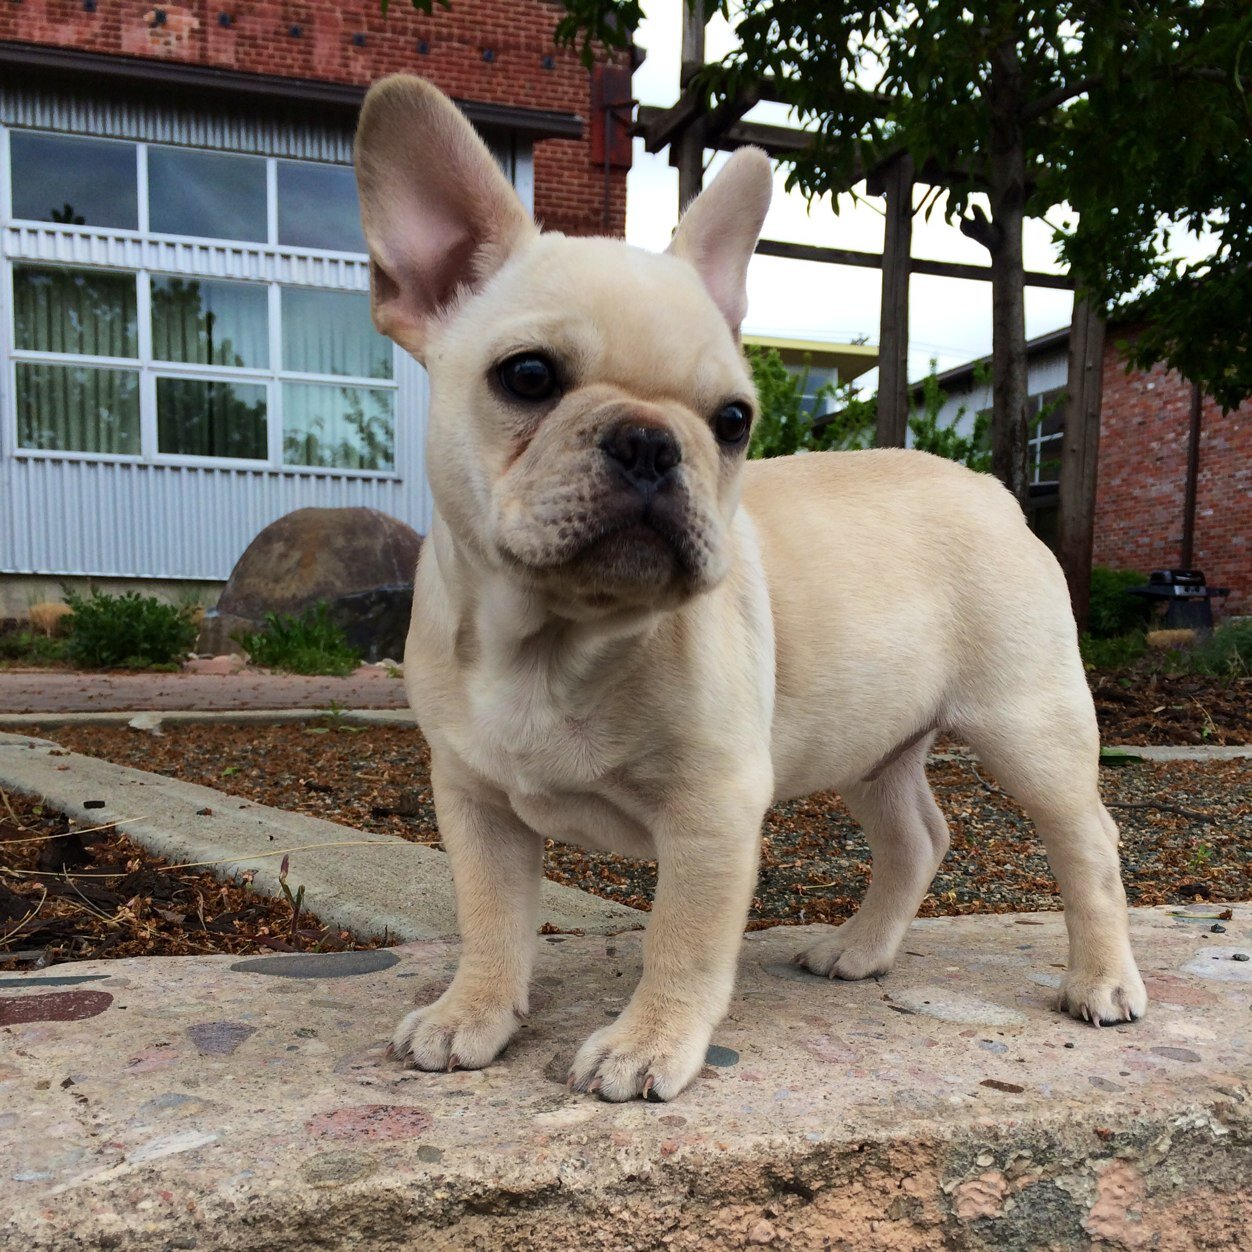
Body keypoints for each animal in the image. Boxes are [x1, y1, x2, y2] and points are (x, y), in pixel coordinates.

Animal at [350, 73, 1146, 1101]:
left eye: (733, 420)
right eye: (526, 376)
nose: (652, 441)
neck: (557, 639)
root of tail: (994, 493)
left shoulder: (712, 811)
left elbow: (681, 939)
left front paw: (648, 1044)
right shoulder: (475, 802)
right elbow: (490, 920)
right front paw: (472, 1014)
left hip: (1030, 728)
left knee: (1088, 845)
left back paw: (1102, 982)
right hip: (870, 741)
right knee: (917, 837)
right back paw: (861, 950)